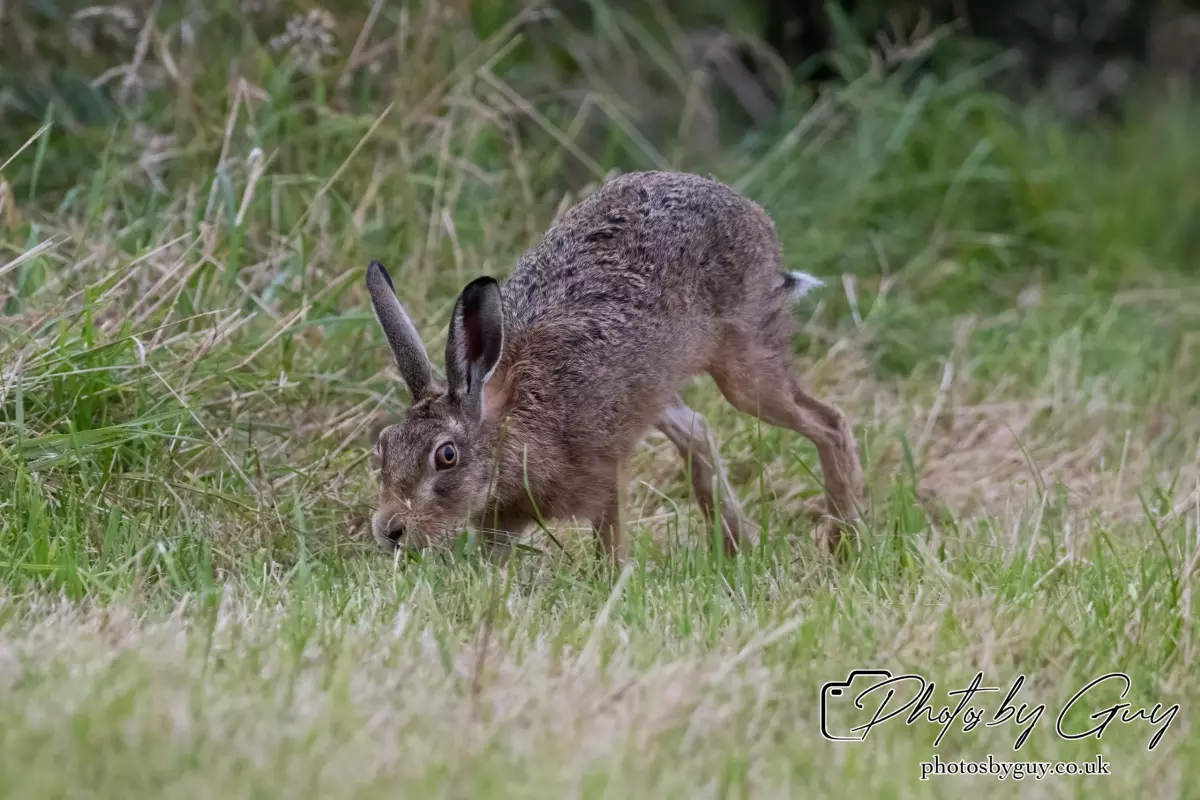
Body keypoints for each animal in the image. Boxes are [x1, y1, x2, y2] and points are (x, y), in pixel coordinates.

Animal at [365, 170, 863, 561]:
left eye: (446, 455)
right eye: (384, 445)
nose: (390, 530)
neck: (509, 424)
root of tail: (748, 209)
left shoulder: (608, 469)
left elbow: (610, 540)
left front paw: (613, 579)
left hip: (746, 366)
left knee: (829, 422)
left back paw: (845, 543)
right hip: (656, 390)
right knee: (698, 431)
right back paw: (735, 550)